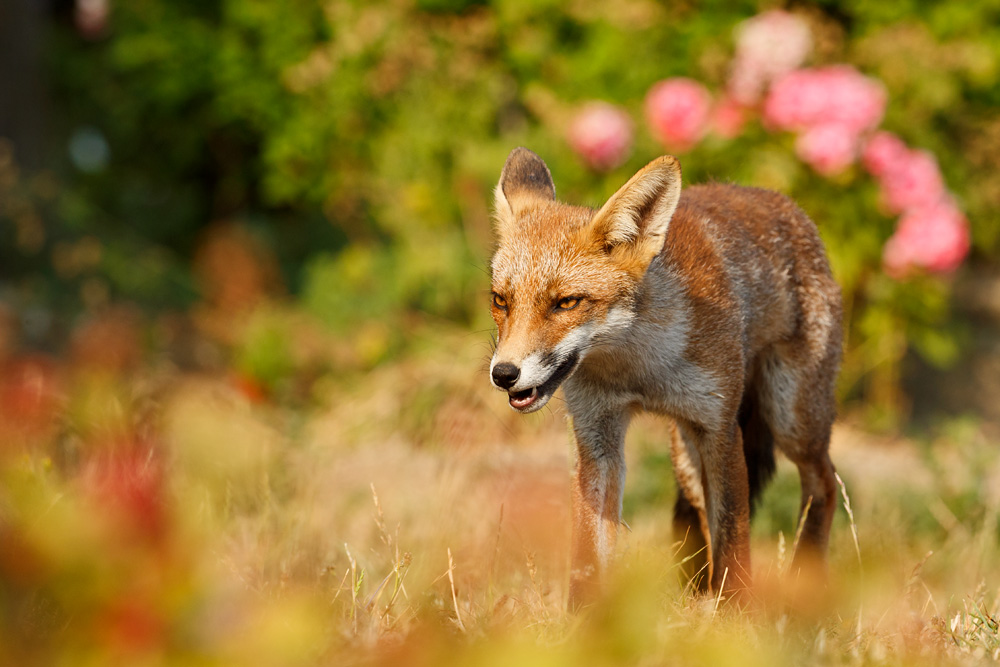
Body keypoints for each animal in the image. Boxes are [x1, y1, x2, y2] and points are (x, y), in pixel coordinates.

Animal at [487, 147, 842, 609]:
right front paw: (583, 621)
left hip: (791, 420)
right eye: (500, 300)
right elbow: (587, 554)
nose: (503, 374)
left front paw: (736, 613)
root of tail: (782, 202)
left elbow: (734, 537)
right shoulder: (597, 437)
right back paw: (697, 590)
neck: (639, 371)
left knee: (824, 484)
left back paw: (805, 581)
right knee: (701, 516)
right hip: (687, 458)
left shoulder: (719, 427)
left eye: (566, 302)